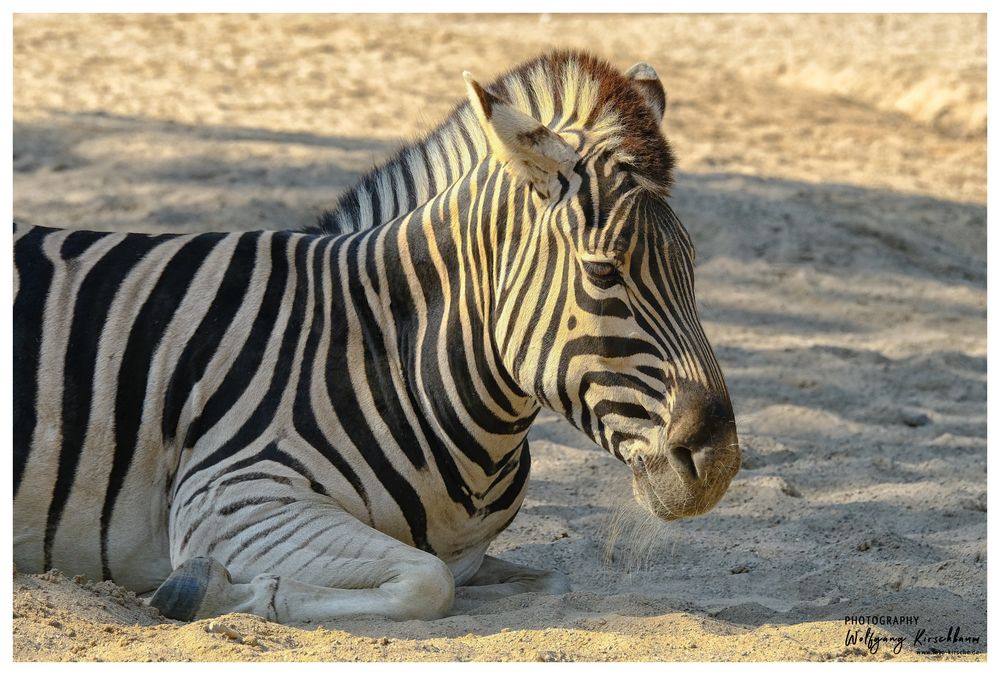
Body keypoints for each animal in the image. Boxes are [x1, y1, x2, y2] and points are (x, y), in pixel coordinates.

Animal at [11, 50, 740, 624]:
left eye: (693, 266)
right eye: (603, 272)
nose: (720, 461)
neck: (392, 359)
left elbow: (545, 579)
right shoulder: (233, 496)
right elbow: (427, 581)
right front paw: (204, 591)